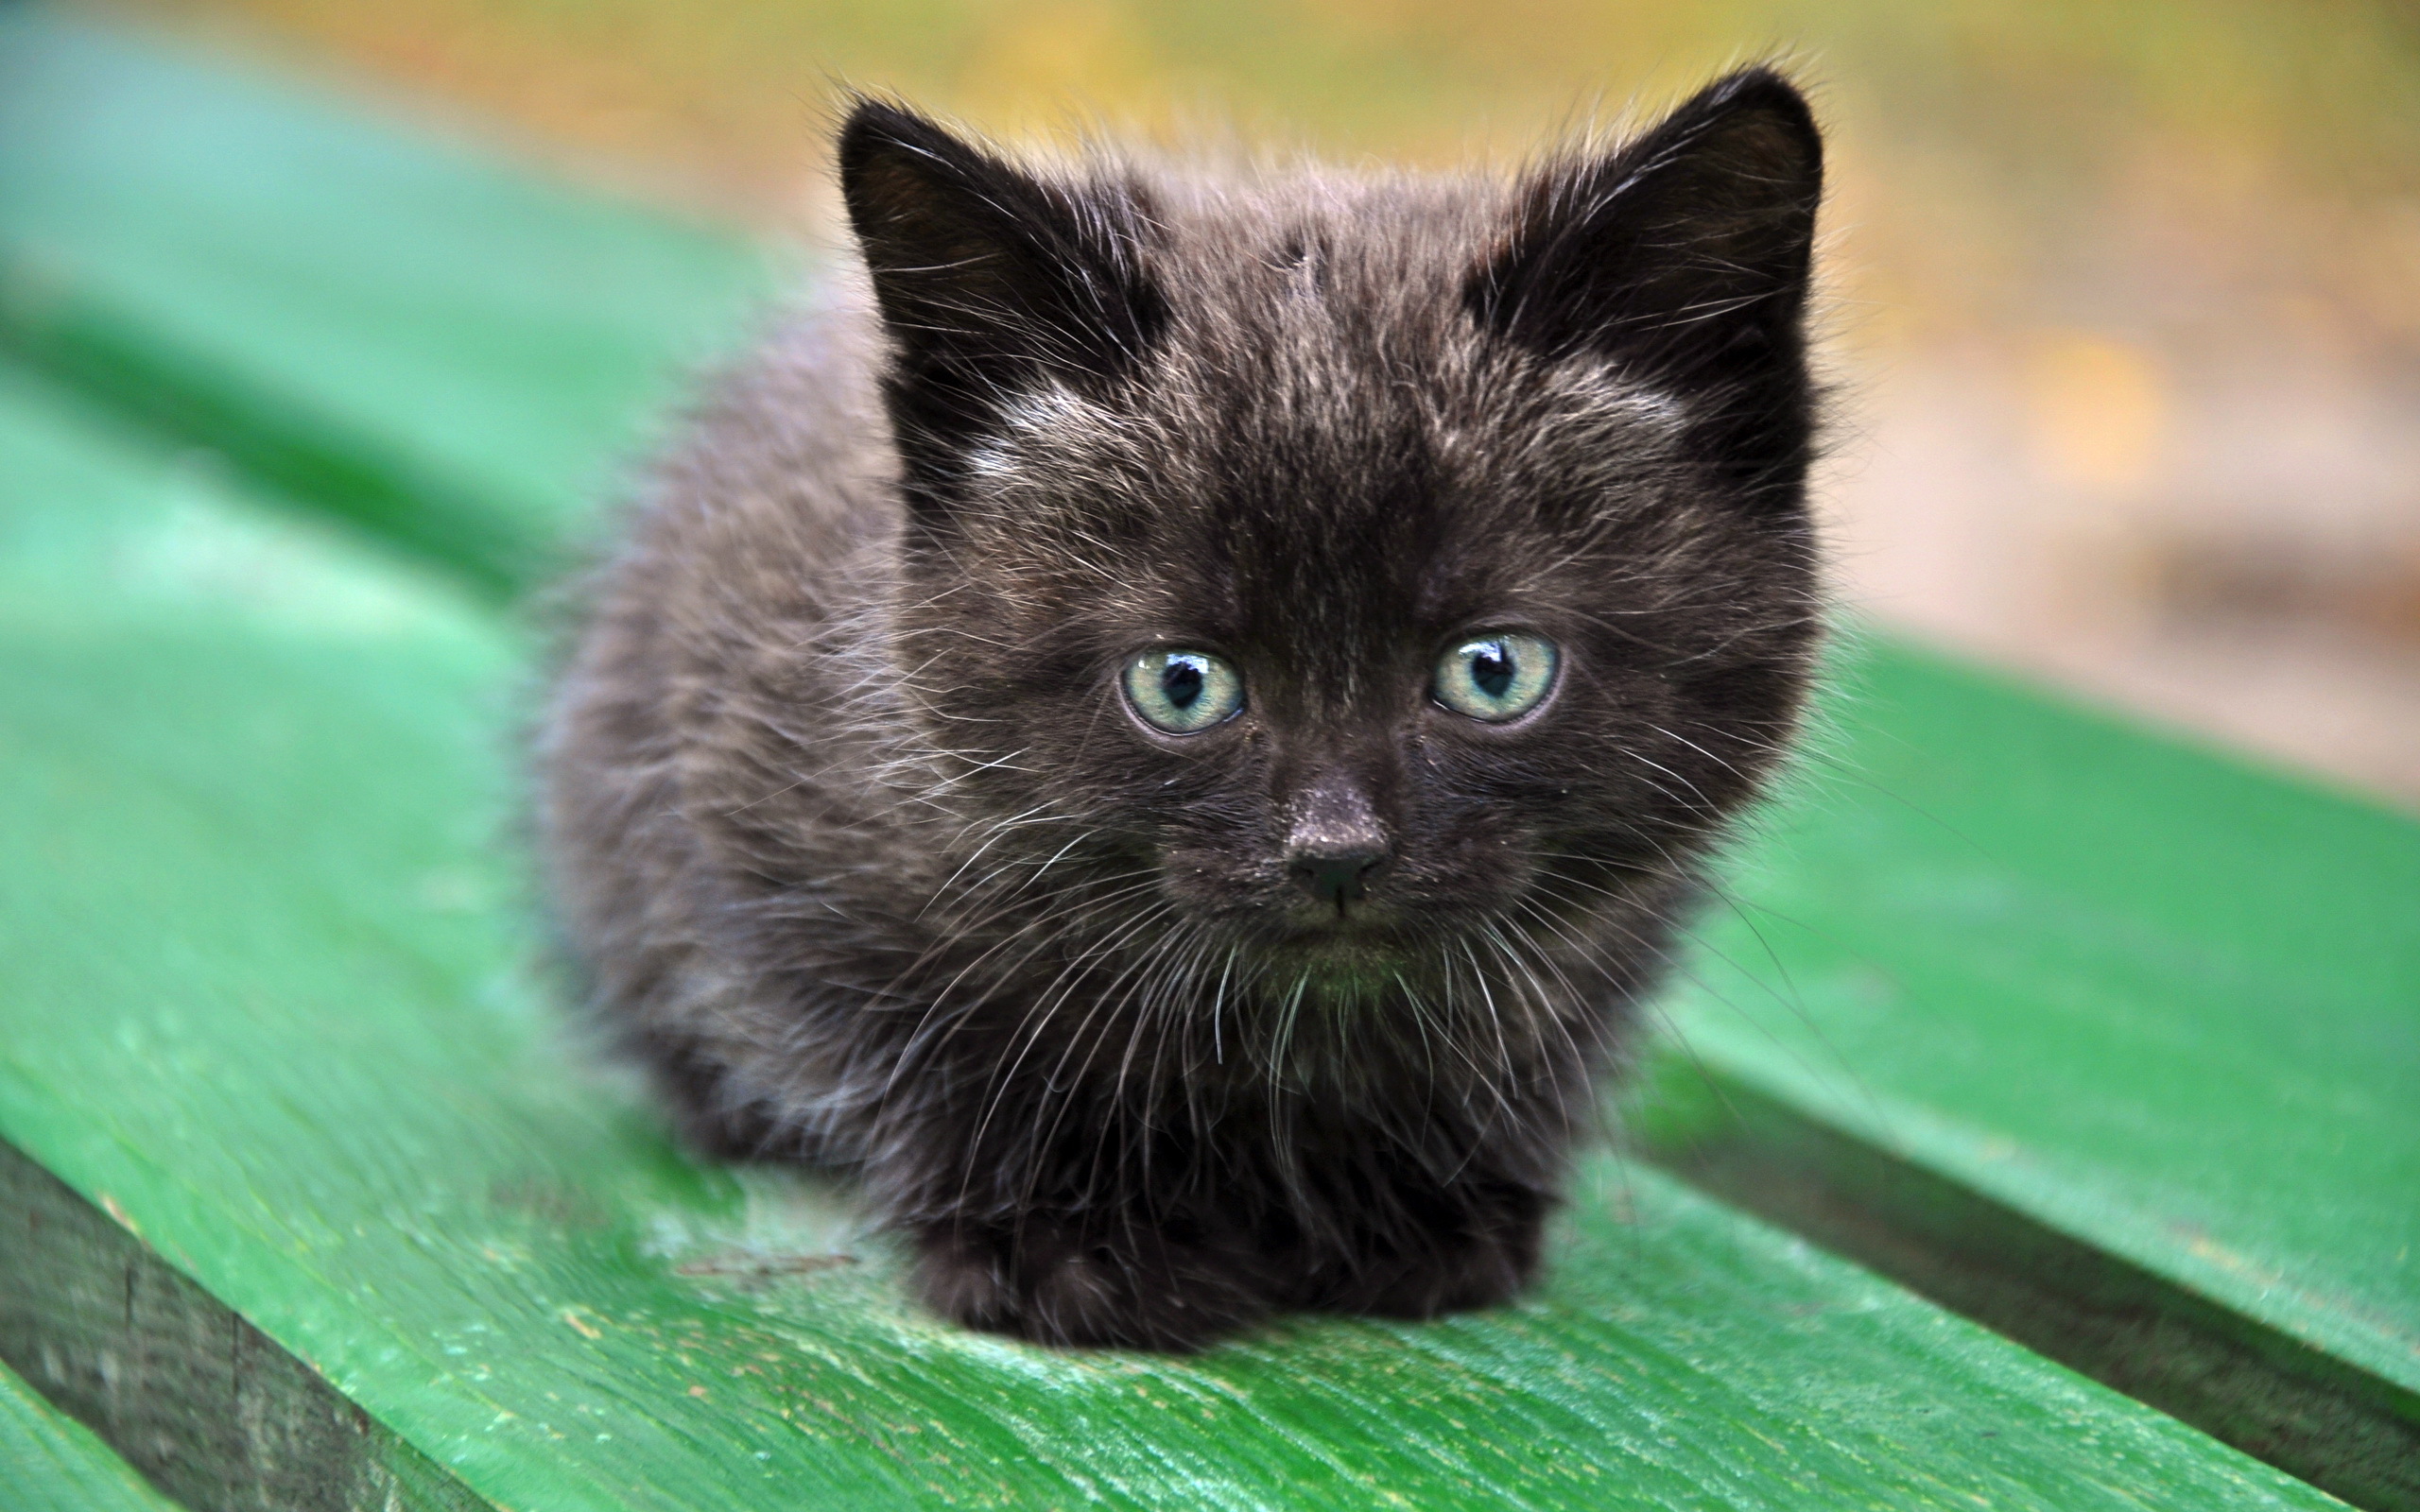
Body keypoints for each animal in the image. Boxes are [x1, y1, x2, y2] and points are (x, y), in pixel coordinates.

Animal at [539, 67, 1820, 1345]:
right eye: (1182, 681)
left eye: (1492, 669)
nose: (1337, 850)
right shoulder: (747, 828)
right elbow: (907, 1042)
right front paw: (1064, 1237)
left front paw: (1413, 1206)